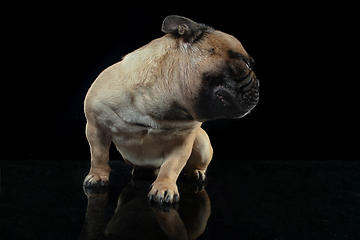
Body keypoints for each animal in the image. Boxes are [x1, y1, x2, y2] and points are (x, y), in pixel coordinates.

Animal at [84, 15, 258, 202]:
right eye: (246, 64)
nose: (258, 84)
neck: (156, 101)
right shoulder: (96, 127)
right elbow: (99, 155)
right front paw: (98, 176)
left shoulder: (182, 142)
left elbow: (171, 166)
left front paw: (164, 188)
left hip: (202, 142)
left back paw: (195, 173)